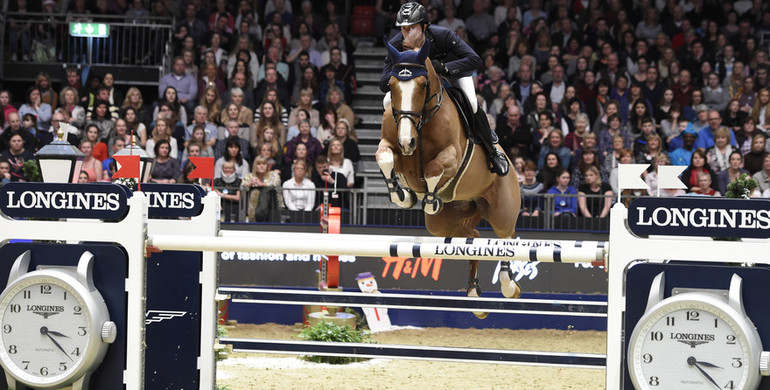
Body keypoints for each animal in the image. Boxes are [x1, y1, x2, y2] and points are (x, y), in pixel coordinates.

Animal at [374, 36, 520, 318]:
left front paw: (430, 199)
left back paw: (509, 285)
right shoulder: (391, 145)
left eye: (423, 85)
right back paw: (473, 293)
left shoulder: (452, 156)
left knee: (505, 237)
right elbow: (385, 158)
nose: (407, 142)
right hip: (445, 223)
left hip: (501, 210)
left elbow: (434, 169)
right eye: (393, 85)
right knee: (474, 237)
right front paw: (401, 195)